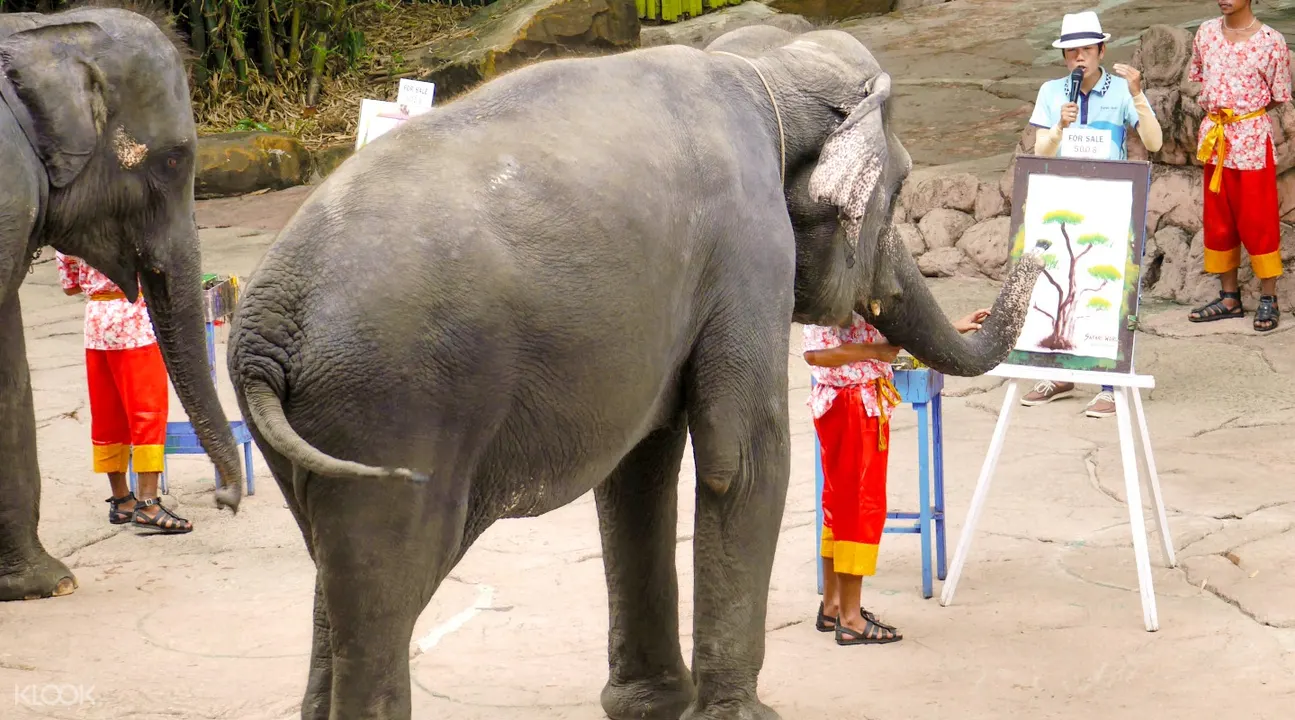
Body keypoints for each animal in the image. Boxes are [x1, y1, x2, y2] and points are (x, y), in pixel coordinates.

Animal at [227, 23, 1046, 720]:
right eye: (899, 191)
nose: (1040, 251)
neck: (763, 69)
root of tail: (264, 329)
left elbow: (638, 473)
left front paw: (653, 706)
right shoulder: (749, 249)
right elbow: (742, 459)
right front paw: (742, 715)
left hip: (322, 434)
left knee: (335, 582)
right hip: (393, 408)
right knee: (386, 590)